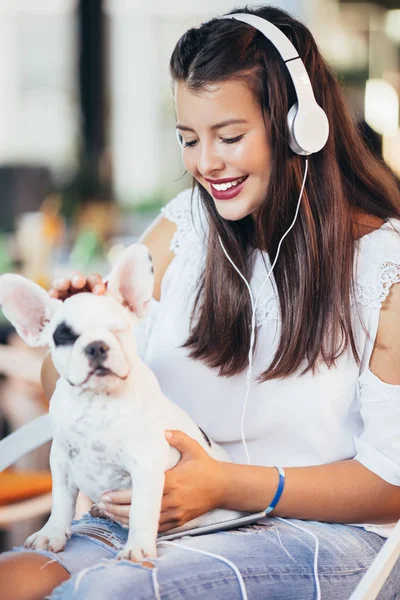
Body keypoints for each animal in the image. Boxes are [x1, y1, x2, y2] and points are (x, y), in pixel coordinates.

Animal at [0, 241, 242, 560]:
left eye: (117, 330)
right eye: (65, 337)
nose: (96, 346)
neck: (97, 402)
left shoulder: (145, 465)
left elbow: (142, 509)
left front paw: (137, 548)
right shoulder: (62, 462)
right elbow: (61, 502)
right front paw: (51, 533)